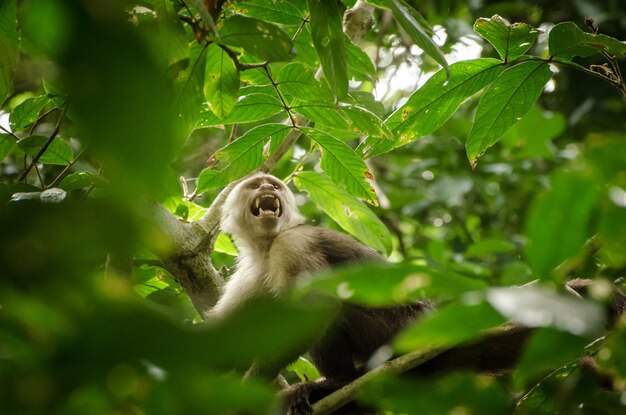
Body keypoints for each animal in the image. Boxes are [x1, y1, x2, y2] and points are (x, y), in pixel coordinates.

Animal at [210, 172, 624, 415]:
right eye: (256, 185)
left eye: (274, 185)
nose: (267, 188)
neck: (268, 245)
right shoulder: (250, 276)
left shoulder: (294, 244)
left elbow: (317, 309)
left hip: (397, 331)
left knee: (336, 310)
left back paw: (336, 383)